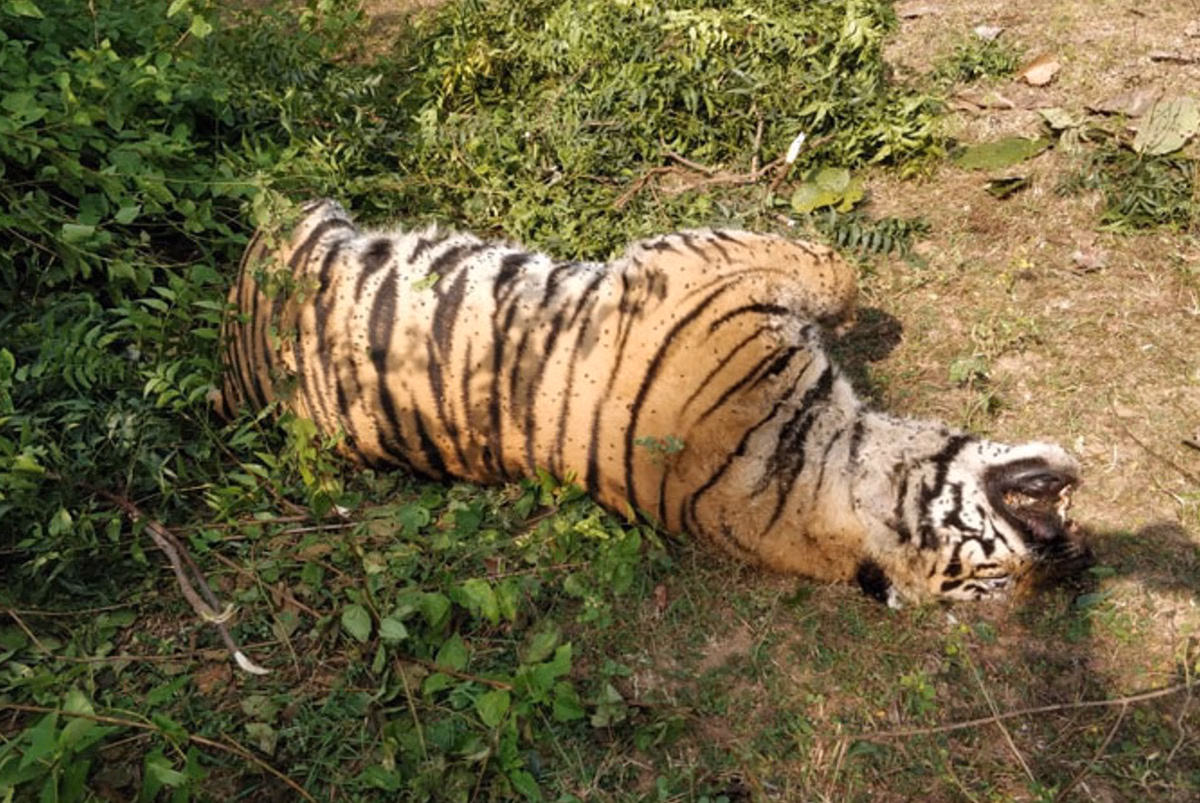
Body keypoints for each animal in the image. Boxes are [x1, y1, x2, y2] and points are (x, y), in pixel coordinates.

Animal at [217, 199, 1091, 605]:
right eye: (997, 574)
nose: (1073, 553)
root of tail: (233, 381)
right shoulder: (710, 262)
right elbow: (834, 268)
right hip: (301, 225)